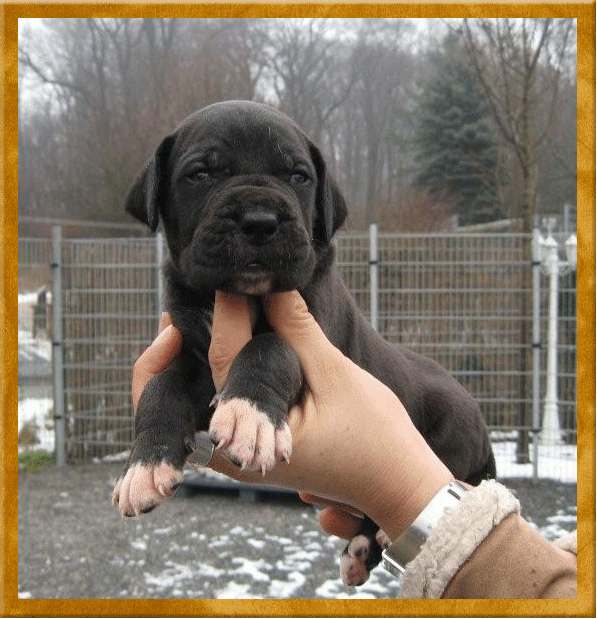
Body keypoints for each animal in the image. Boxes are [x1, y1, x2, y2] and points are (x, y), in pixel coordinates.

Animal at [112, 100, 496, 585]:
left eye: (298, 175)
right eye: (201, 174)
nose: (260, 222)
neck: (245, 296)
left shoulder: (313, 330)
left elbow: (271, 348)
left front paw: (250, 414)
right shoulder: (191, 346)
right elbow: (163, 385)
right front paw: (144, 465)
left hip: (450, 442)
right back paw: (361, 549)